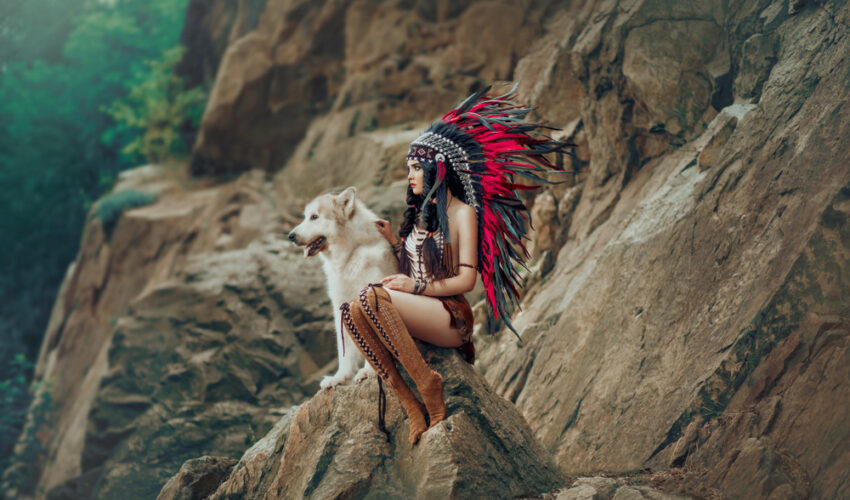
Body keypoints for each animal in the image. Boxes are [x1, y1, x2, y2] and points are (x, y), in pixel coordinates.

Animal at [286, 186, 396, 388]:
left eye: (314, 217)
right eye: (306, 216)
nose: (291, 236)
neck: (350, 257)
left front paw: (368, 371)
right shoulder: (341, 307)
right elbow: (344, 351)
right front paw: (339, 378)